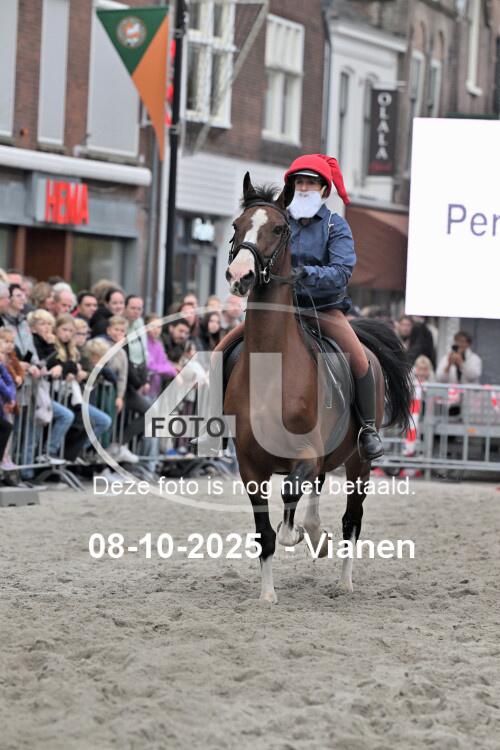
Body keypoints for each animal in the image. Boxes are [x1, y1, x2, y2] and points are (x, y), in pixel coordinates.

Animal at [223, 173, 413, 602]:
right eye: (237, 226)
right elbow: (266, 533)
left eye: (279, 229)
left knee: (351, 519)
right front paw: (267, 594)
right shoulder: (250, 465)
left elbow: (291, 505)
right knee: (318, 491)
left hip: (359, 464)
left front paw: (304, 537)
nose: (240, 275)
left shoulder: (305, 453)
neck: (272, 371)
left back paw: (343, 580)